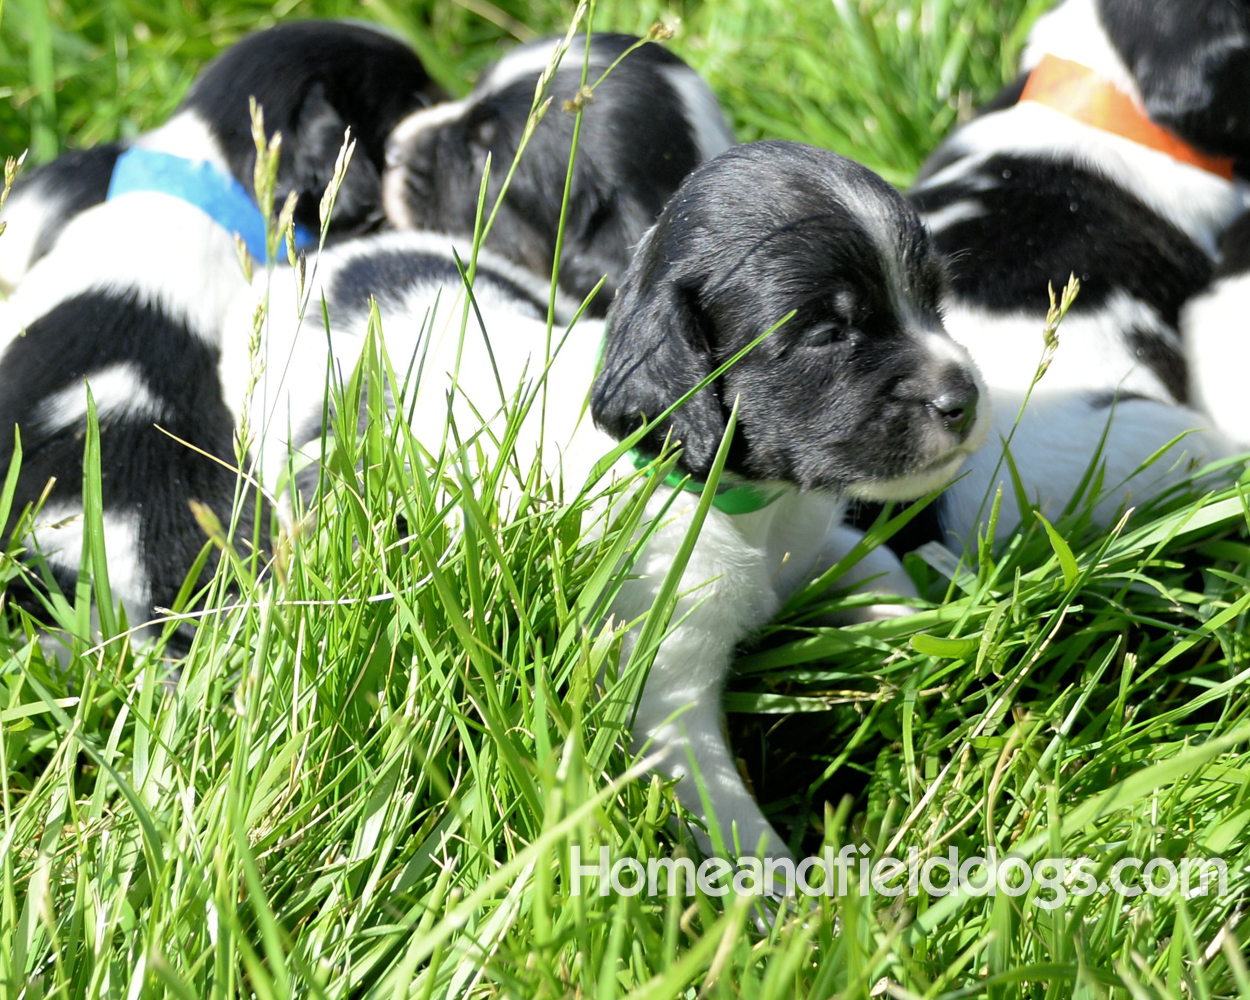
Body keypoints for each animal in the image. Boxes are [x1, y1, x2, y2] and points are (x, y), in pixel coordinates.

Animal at [222, 140, 985, 875]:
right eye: (828, 333)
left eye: (935, 302)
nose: (966, 398)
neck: (735, 502)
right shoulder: (666, 689)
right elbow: (733, 827)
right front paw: (788, 906)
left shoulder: (810, 540)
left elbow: (883, 574)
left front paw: (950, 642)